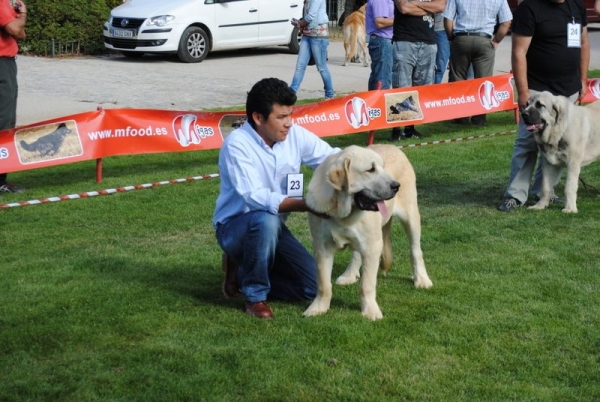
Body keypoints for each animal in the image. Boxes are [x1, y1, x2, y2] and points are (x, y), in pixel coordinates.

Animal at [304, 144, 432, 320]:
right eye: (370, 169)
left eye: (383, 167)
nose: (396, 186)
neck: (342, 213)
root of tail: (394, 147)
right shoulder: (322, 248)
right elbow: (323, 283)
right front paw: (318, 308)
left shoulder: (373, 246)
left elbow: (367, 284)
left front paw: (370, 311)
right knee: (356, 254)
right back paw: (349, 275)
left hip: (411, 216)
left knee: (415, 250)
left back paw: (422, 279)